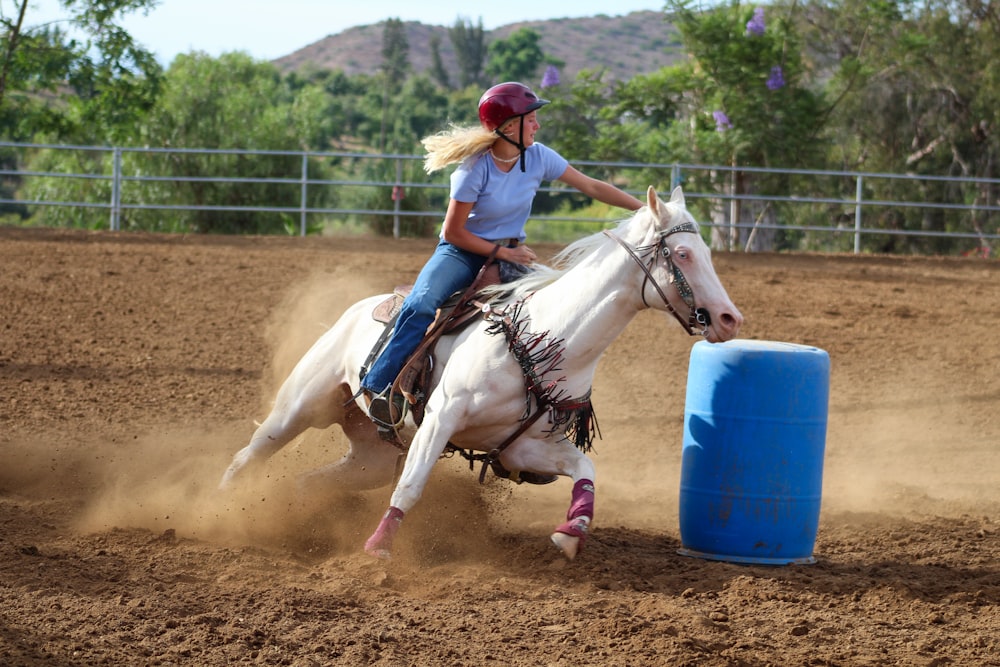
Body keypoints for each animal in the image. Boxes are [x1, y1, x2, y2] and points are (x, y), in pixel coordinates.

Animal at [221, 185, 744, 560]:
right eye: (682, 255)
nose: (729, 318)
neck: (552, 337)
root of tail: (358, 308)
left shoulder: (523, 447)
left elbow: (585, 469)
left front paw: (572, 531)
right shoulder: (441, 419)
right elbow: (412, 485)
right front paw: (379, 547)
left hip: (371, 456)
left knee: (311, 481)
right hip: (300, 408)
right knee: (249, 454)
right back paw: (220, 504)